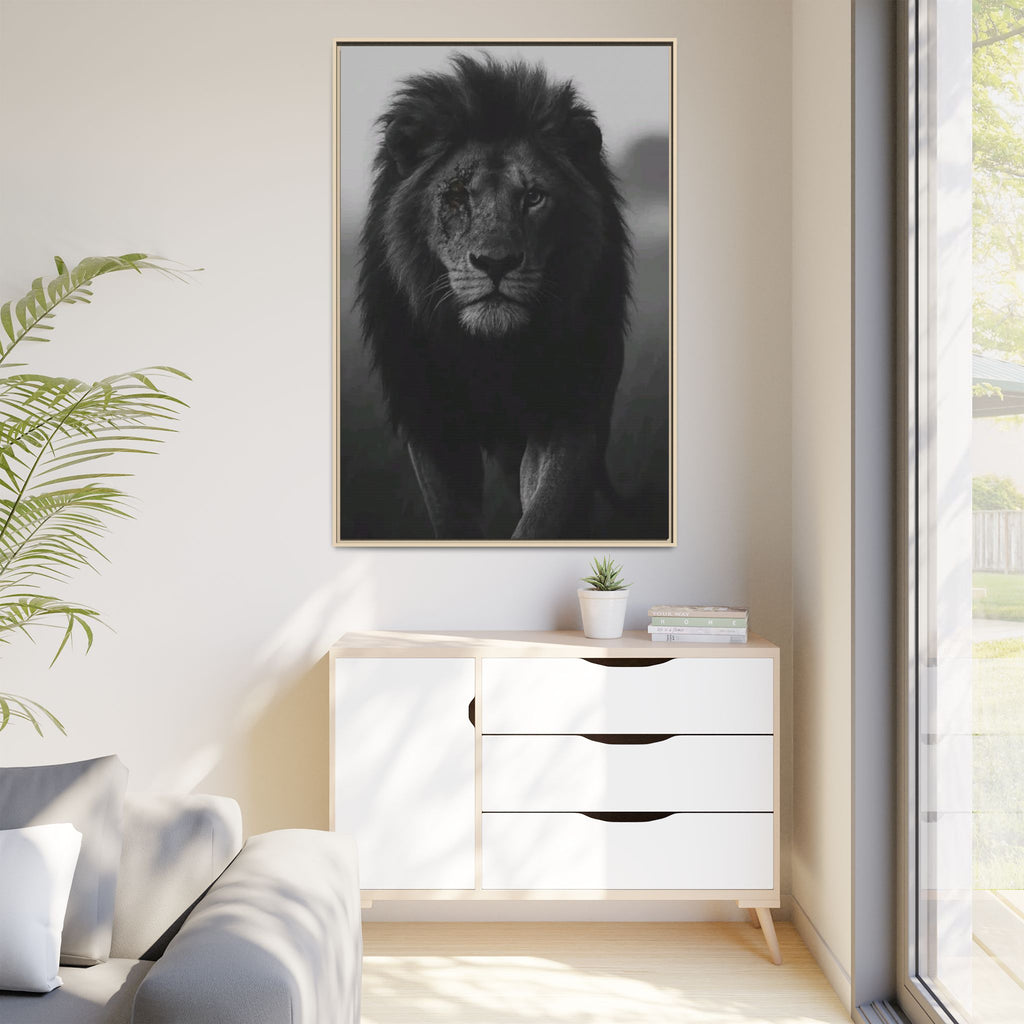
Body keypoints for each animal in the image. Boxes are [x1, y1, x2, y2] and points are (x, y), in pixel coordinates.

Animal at [356, 53, 631, 540]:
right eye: (457, 196)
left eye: (534, 197)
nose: (496, 263)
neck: (492, 353)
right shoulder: (430, 419)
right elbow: (452, 521)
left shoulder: (568, 409)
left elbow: (546, 512)